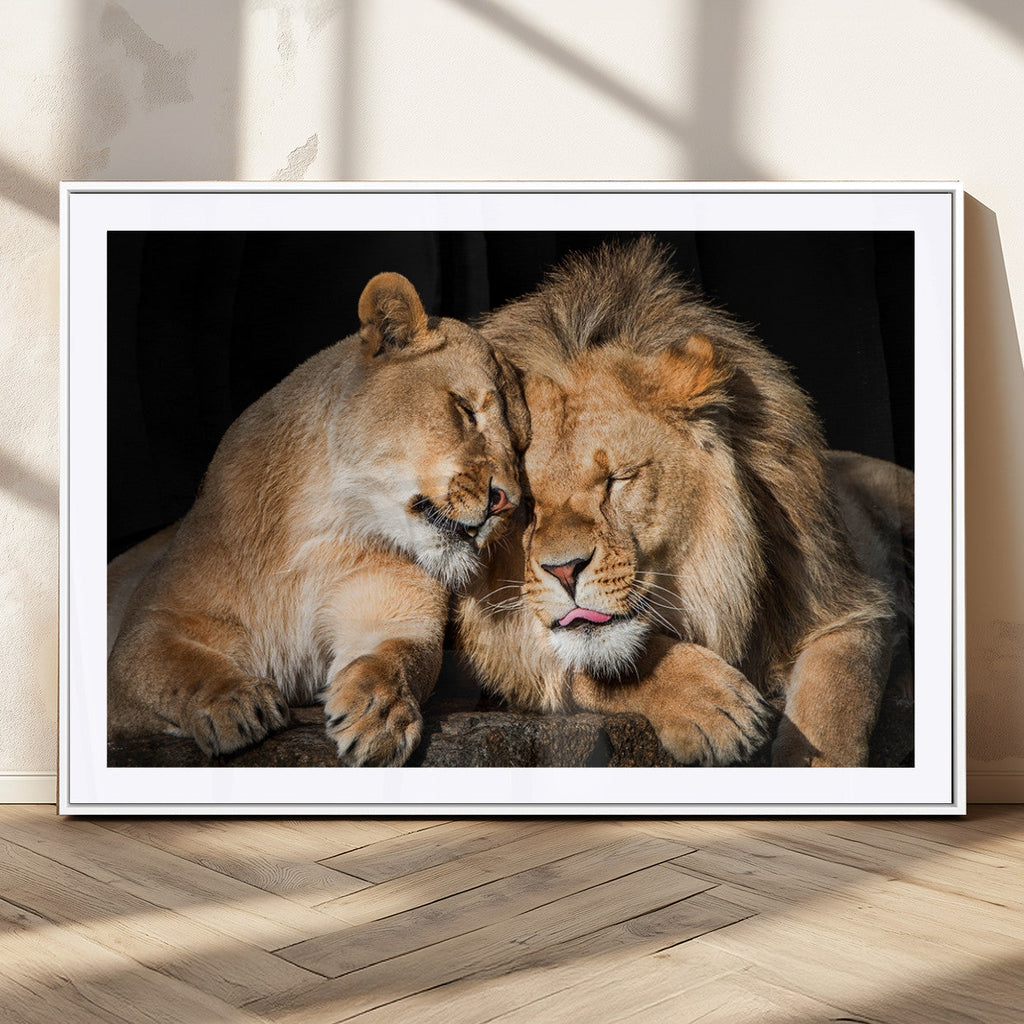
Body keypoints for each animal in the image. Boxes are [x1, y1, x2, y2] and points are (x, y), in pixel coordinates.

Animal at [108, 272, 527, 766]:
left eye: (521, 447)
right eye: (465, 409)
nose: (507, 503)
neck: (325, 528)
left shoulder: (396, 613)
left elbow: (397, 658)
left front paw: (380, 713)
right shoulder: (147, 629)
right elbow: (175, 666)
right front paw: (233, 701)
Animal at [456, 238, 911, 767]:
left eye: (618, 479)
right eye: (525, 502)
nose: (564, 571)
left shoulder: (847, 603)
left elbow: (833, 702)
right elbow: (596, 664)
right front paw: (713, 706)